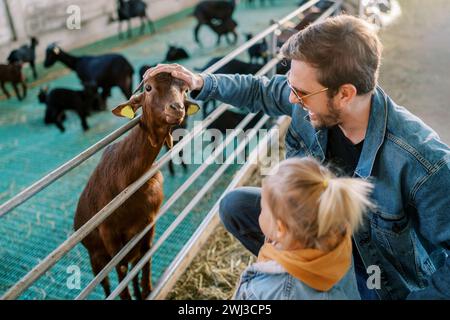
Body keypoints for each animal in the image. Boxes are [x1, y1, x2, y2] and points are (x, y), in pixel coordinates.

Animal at [74, 72, 199, 300]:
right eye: (148, 88)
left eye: (185, 90)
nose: (177, 108)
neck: (132, 178)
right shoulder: (109, 232)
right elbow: (121, 269)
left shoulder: (149, 221)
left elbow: (145, 256)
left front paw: (147, 290)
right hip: (95, 257)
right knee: (106, 282)